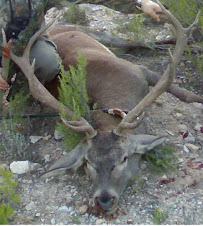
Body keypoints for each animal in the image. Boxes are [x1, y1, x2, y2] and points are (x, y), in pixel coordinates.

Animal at [1, 0, 201, 215]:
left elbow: (186, 94)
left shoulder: (141, 71)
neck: (117, 90)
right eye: (88, 162)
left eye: (124, 158)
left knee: (142, 42)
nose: (104, 201)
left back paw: (193, 40)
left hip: (98, 33)